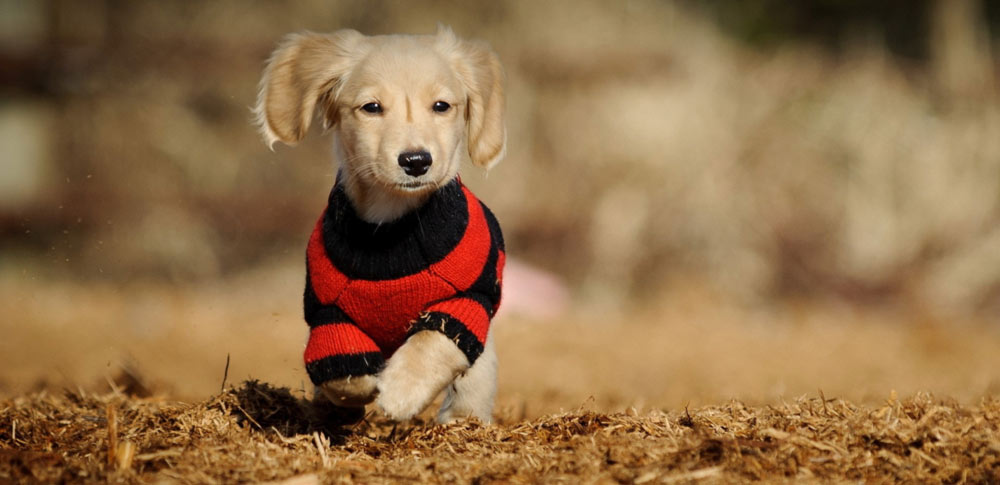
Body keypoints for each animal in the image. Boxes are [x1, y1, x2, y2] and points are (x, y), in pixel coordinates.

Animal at [256, 27, 508, 424]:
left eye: (441, 106)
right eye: (371, 107)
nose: (416, 161)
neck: (392, 229)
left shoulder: (467, 300)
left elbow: (431, 342)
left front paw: (402, 391)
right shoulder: (328, 310)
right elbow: (339, 367)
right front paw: (359, 387)